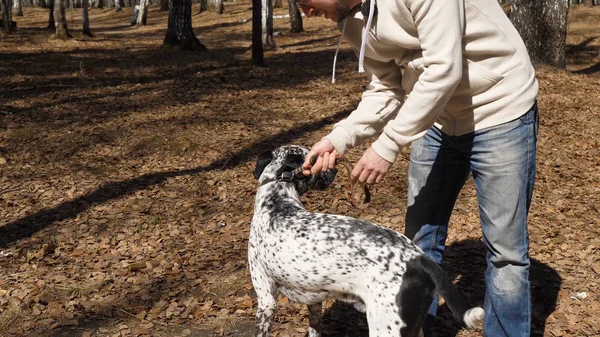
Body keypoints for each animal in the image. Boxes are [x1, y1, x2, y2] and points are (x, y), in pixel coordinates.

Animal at [248, 145, 482, 336]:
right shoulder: (314, 303)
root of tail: (419, 258)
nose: (334, 169)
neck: (277, 200)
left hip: (385, 328)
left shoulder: (266, 299)